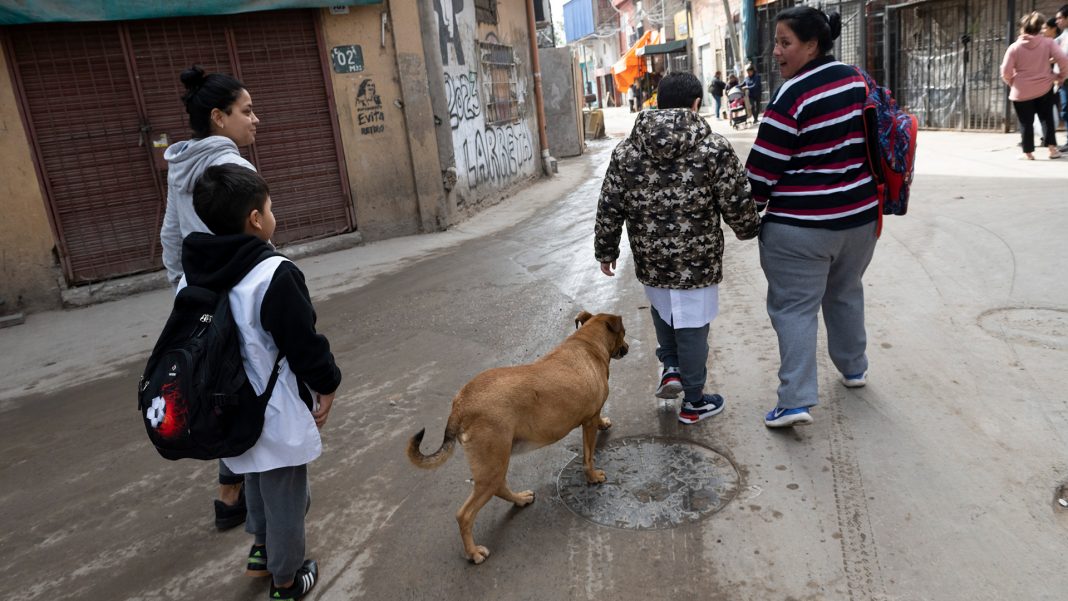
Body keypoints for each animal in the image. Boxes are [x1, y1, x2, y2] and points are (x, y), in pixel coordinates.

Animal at [405, 313, 623, 563]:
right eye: (624, 333)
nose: (626, 348)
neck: (587, 343)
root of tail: (459, 406)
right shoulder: (588, 422)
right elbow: (588, 457)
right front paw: (593, 476)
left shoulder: (590, 417)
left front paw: (604, 423)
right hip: (492, 464)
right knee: (465, 515)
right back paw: (473, 552)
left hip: (495, 462)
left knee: (499, 487)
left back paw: (519, 499)